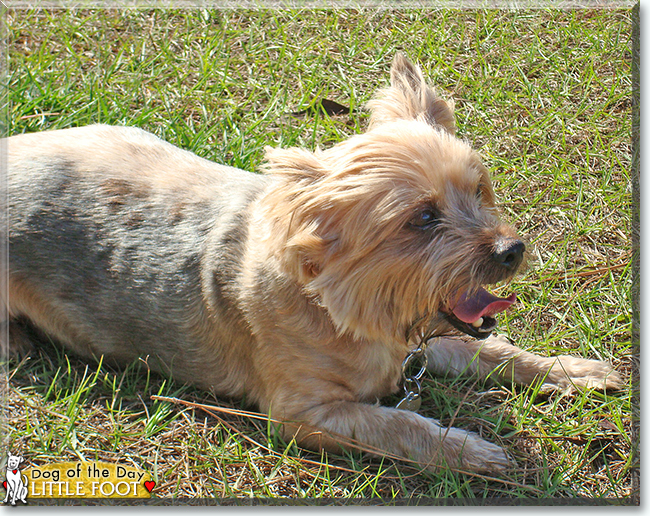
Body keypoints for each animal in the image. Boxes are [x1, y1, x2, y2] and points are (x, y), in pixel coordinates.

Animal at [1, 54, 624, 474]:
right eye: (422, 219)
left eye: (480, 190)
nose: (510, 250)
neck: (340, 308)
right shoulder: (304, 413)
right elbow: (399, 422)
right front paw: (466, 449)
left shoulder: (425, 338)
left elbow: (493, 350)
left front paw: (573, 371)